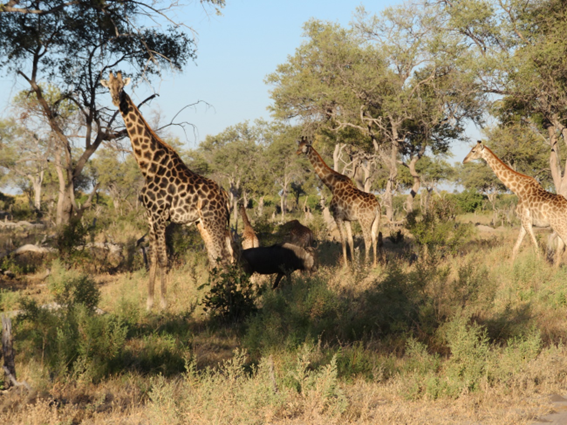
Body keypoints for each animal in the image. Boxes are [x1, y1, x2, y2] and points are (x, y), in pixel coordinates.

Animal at [101, 72, 234, 308]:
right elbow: (153, 258)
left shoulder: (161, 216)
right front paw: (149, 303)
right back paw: (219, 299)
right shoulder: (150, 217)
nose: (116, 100)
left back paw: (230, 300)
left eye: (122, 87)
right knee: (215, 258)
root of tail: (226, 196)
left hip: (214, 220)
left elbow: (163, 259)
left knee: (225, 258)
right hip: (202, 223)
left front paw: (163, 304)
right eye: (108, 87)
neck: (148, 165)